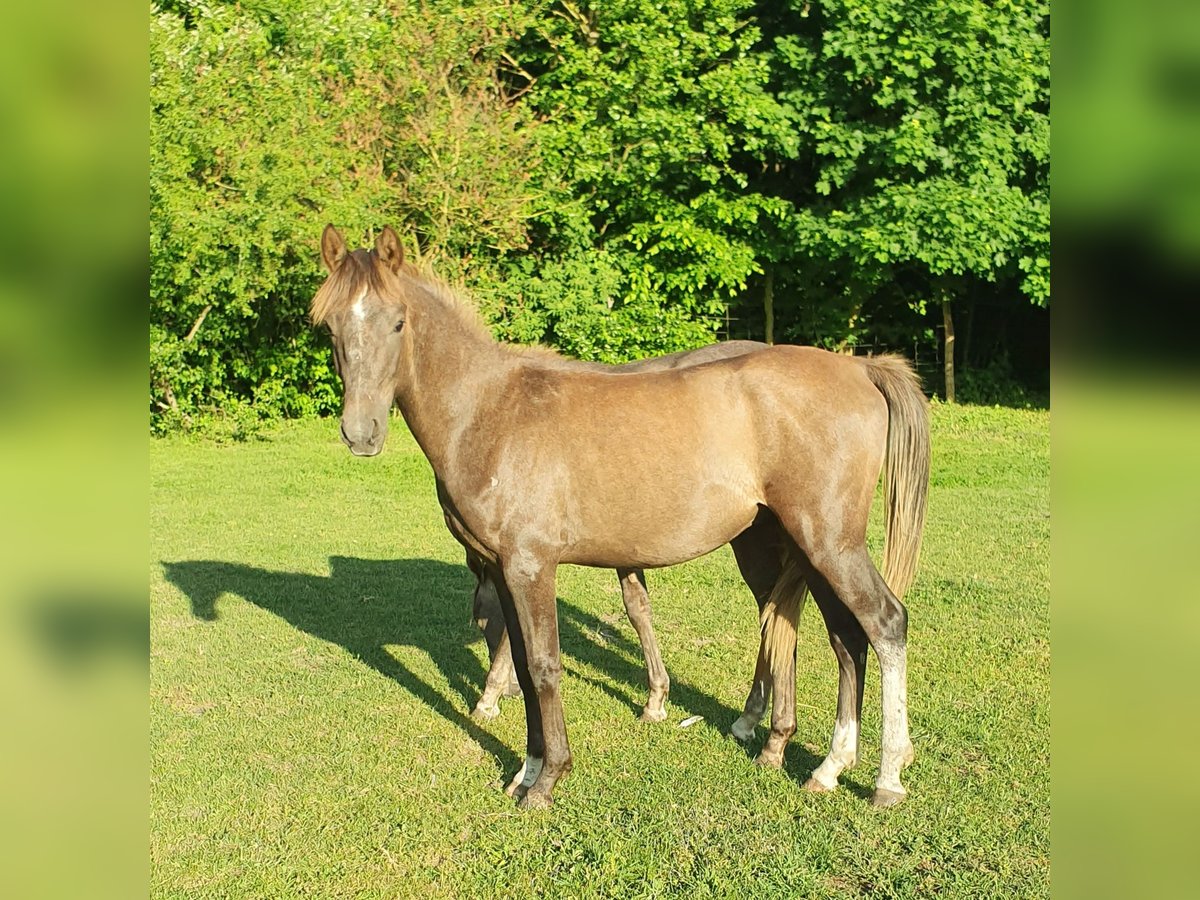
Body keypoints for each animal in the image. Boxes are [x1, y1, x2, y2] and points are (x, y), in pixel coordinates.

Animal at [309, 225, 926, 811]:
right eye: (331, 328)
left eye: (397, 323)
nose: (361, 433)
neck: (492, 414)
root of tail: (860, 369)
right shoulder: (506, 571)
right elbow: (524, 670)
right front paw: (526, 770)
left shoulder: (530, 567)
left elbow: (543, 666)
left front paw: (547, 781)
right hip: (803, 545)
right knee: (839, 635)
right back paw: (824, 765)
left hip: (829, 542)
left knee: (884, 623)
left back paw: (886, 778)